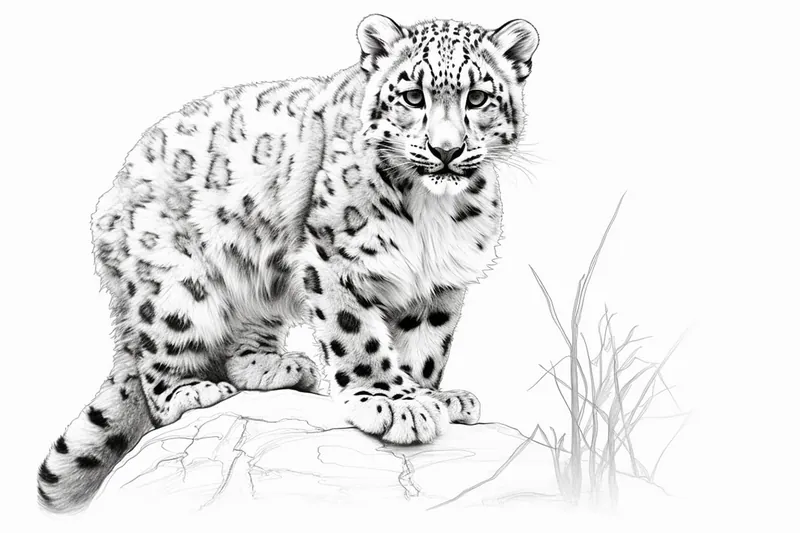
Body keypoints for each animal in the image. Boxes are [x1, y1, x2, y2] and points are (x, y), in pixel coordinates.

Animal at [36, 14, 539, 512]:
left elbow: (427, 344)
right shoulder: (336, 259)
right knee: (157, 376)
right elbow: (357, 336)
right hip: (176, 288)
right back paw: (193, 391)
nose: (446, 150)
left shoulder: (440, 283)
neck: (432, 212)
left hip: (260, 287)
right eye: (413, 96)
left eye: (478, 97)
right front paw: (395, 402)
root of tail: (110, 200)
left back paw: (282, 368)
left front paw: (432, 395)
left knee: (237, 350)